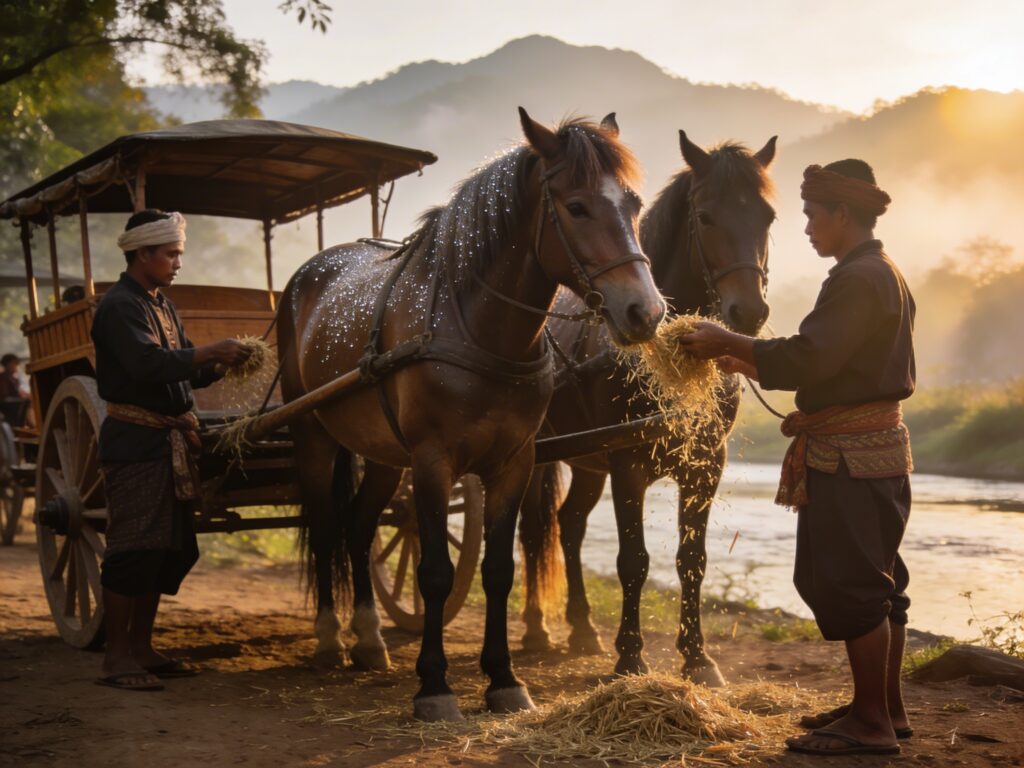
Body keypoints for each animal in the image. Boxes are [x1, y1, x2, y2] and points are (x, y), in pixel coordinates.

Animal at [276, 109, 666, 721]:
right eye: (577, 206)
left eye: (633, 203)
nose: (645, 312)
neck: (480, 332)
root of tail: (306, 274)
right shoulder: (433, 462)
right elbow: (435, 572)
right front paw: (434, 685)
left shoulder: (514, 462)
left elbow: (499, 571)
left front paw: (504, 679)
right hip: (312, 436)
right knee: (325, 528)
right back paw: (329, 637)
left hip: (384, 457)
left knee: (359, 529)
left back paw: (368, 637)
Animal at [518, 130, 777, 685]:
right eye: (705, 216)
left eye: (767, 215)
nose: (748, 311)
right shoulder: (628, 465)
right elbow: (632, 560)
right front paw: (631, 656)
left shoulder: (705, 464)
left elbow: (691, 559)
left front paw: (698, 657)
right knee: (531, 530)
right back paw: (536, 629)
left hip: (586, 463)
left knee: (570, 526)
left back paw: (582, 629)